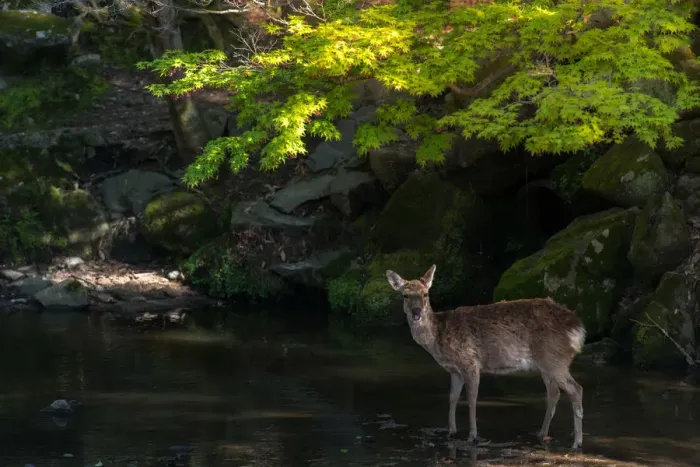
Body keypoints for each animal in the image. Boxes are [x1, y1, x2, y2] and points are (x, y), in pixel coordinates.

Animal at [385, 264, 585, 449]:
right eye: (405, 295)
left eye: (425, 294)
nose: (416, 312)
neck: (438, 339)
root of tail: (578, 328)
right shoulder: (454, 370)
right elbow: (452, 397)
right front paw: (451, 432)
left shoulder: (471, 362)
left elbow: (471, 399)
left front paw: (472, 436)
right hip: (547, 363)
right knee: (554, 392)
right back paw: (542, 433)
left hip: (554, 359)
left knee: (576, 389)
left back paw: (577, 442)